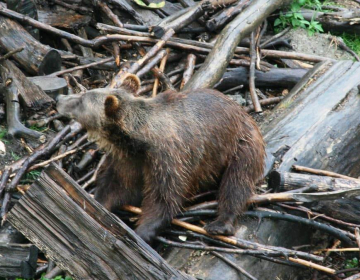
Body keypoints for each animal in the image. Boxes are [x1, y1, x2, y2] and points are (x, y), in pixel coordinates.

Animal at [56, 74, 264, 243]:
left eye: (81, 100)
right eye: (83, 94)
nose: (60, 98)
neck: (138, 142)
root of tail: (242, 110)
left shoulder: (169, 158)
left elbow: (164, 197)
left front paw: (142, 231)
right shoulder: (128, 160)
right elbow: (117, 186)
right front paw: (95, 203)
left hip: (240, 145)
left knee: (236, 182)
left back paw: (220, 224)